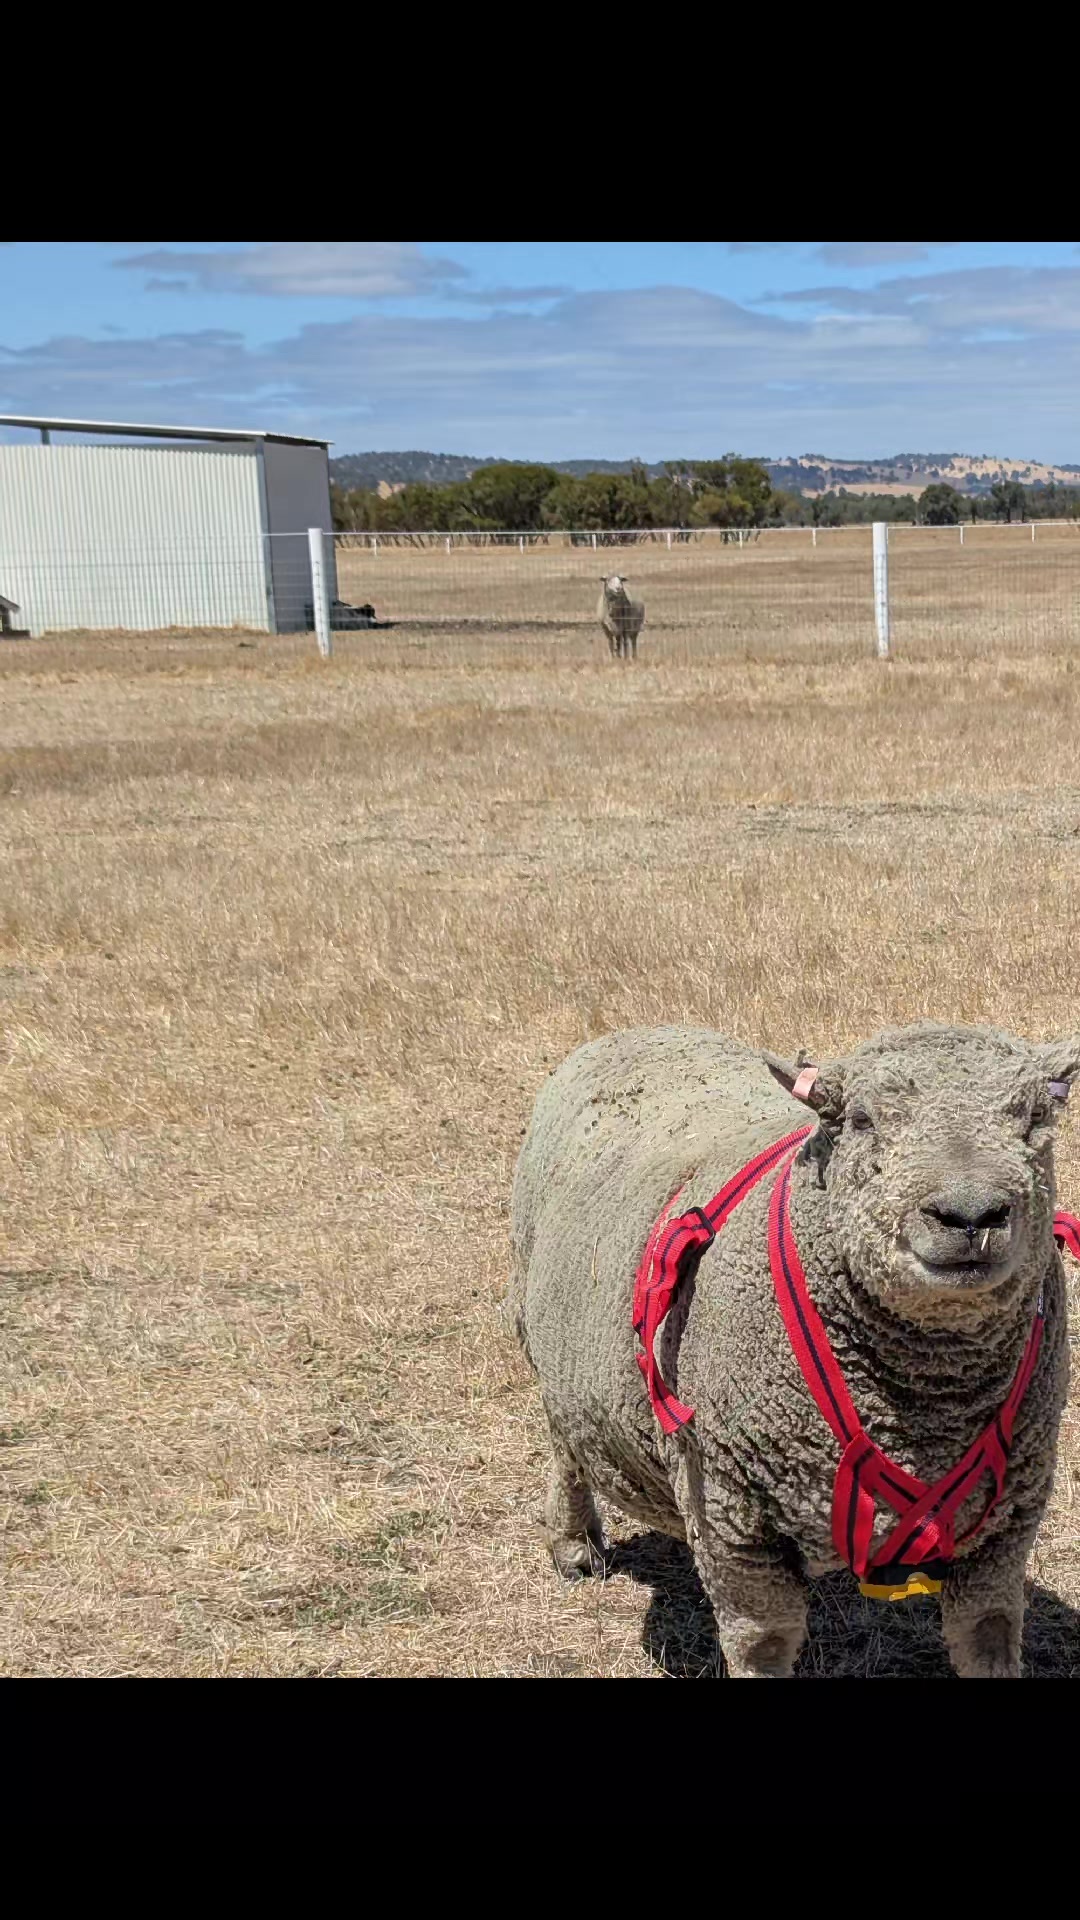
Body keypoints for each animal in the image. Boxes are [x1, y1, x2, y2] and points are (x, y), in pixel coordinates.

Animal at [509, 1020, 1077, 1678]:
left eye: (1035, 1115)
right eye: (861, 1119)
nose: (970, 1215)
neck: (929, 1399)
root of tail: (637, 1030)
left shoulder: (1010, 1517)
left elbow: (987, 1631)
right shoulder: (729, 1519)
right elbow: (763, 1641)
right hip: (536, 1331)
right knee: (565, 1447)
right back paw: (573, 1544)